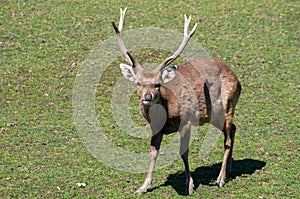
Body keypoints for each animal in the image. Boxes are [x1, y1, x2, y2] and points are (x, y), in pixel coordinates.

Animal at [112, 7, 241, 194]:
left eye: (157, 84)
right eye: (138, 83)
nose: (147, 97)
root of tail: (237, 78)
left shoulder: (186, 120)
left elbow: (183, 152)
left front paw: (190, 185)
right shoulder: (155, 128)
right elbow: (153, 152)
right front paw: (143, 186)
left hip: (228, 104)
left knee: (227, 140)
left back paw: (220, 178)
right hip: (213, 115)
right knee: (233, 129)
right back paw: (229, 169)